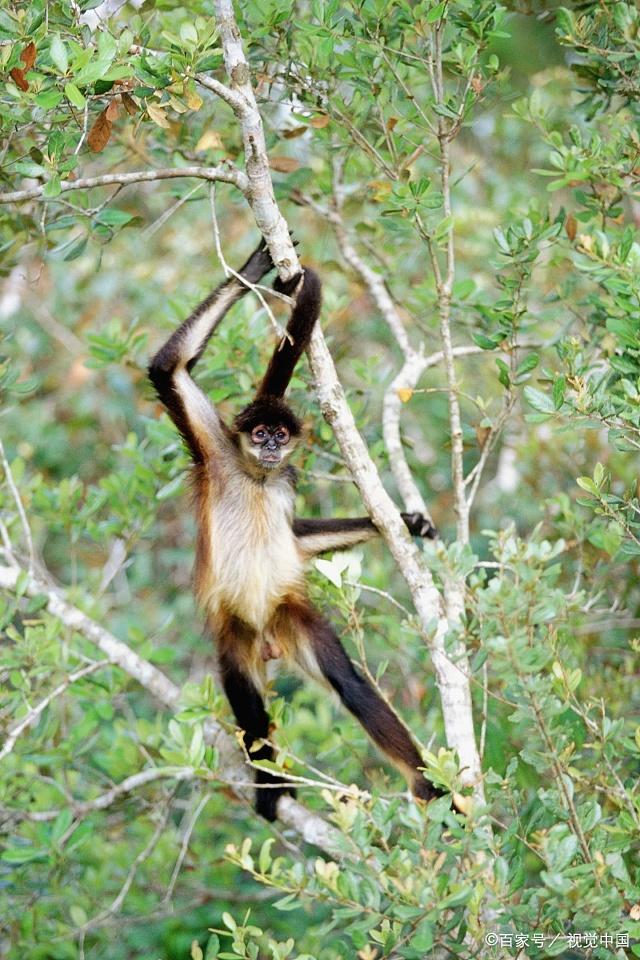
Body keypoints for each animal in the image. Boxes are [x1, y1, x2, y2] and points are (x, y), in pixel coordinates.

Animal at [149, 240, 444, 816]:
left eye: (281, 437)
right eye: (260, 432)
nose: (269, 446)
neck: (258, 476)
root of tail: (268, 636)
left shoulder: (285, 478)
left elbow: (298, 538)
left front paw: (407, 522)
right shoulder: (218, 454)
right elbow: (167, 368)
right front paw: (257, 264)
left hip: (290, 616)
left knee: (350, 685)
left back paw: (426, 787)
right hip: (236, 632)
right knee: (246, 699)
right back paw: (268, 783)